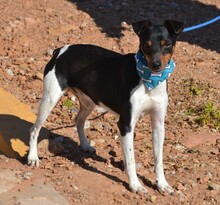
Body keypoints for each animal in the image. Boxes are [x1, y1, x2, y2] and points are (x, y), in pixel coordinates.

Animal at [28, 20, 185, 195]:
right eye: (146, 45)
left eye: (167, 44)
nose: (156, 65)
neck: (149, 80)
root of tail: (60, 51)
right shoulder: (126, 124)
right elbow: (130, 159)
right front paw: (135, 185)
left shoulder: (158, 123)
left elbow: (158, 159)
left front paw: (162, 184)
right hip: (50, 99)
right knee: (34, 129)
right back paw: (32, 157)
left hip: (88, 103)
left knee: (78, 121)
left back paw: (85, 145)